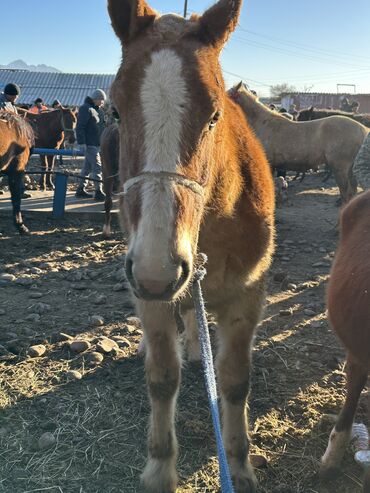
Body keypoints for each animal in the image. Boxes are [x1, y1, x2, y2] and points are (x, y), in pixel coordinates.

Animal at [107, 1, 274, 490]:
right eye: (115, 112)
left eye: (215, 115)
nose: (158, 270)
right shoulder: (151, 292)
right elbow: (163, 378)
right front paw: (160, 469)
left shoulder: (246, 297)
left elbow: (235, 381)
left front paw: (239, 464)